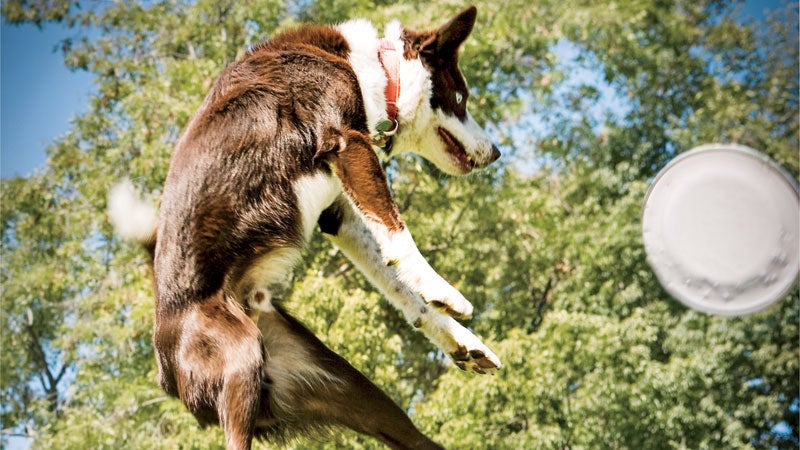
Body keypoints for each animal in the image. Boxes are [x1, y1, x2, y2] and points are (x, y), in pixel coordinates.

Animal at [110, 7, 504, 450]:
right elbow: (399, 234)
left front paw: (460, 338)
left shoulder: (339, 213)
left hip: (353, 391)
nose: (496, 152)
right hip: (239, 354)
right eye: (461, 99)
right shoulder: (347, 143)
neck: (370, 66)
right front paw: (445, 292)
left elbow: (396, 279)